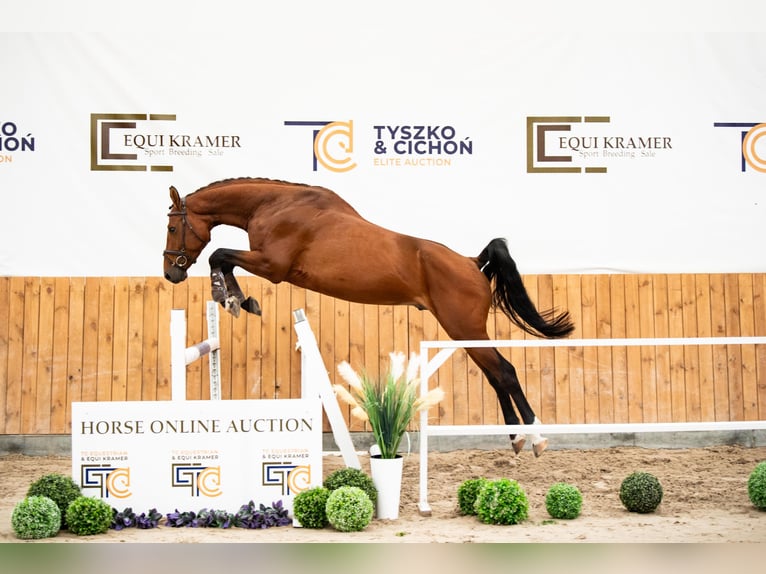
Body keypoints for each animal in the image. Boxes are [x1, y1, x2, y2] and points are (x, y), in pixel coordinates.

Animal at [166, 178, 576, 456]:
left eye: (172, 227)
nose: (171, 273)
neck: (275, 205)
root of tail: (472, 262)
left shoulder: (272, 265)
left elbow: (220, 254)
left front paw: (230, 297)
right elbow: (223, 257)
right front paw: (237, 299)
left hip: (464, 327)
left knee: (504, 371)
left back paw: (536, 439)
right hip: (466, 333)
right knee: (494, 375)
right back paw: (516, 439)